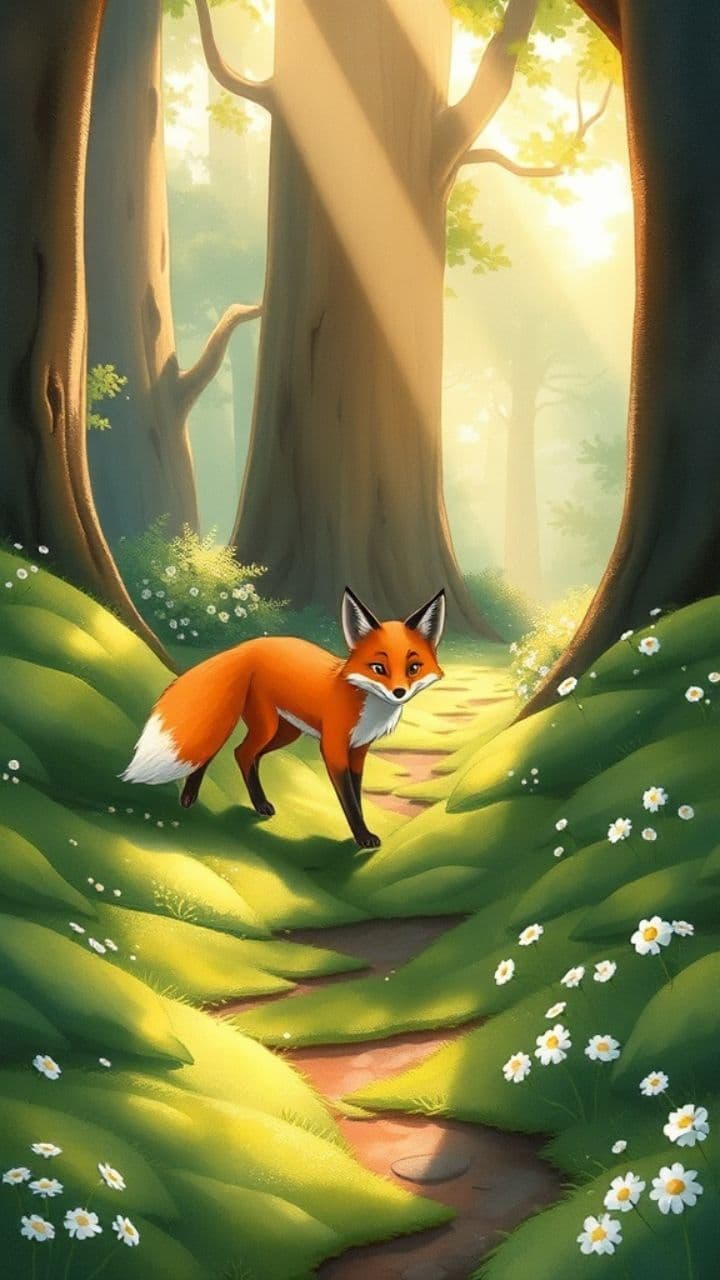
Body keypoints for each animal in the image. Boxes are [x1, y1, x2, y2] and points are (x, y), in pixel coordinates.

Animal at [121, 587, 445, 848]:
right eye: (378, 668)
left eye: (413, 668)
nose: (399, 692)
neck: (364, 702)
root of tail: (248, 646)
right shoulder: (333, 748)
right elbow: (349, 800)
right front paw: (362, 837)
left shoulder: (358, 750)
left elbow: (356, 792)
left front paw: (363, 831)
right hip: (267, 726)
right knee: (238, 752)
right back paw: (203, 798)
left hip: (286, 732)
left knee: (243, 755)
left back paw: (254, 803)